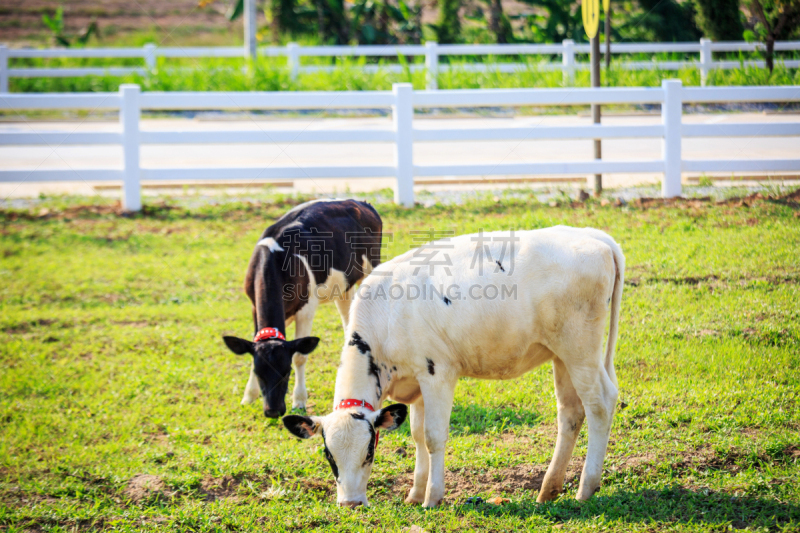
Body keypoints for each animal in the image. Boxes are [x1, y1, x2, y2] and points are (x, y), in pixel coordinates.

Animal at [219, 197, 382, 418]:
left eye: (286, 372)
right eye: (258, 372)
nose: (273, 411)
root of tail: (361, 202)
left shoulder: (306, 309)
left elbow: (299, 356)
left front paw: (299, 401)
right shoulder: (253, 306)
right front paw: (248, 396)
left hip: (372, 268)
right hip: (344, 285)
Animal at [282, 225, 624, 508]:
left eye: (369, 451)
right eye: (328, 455)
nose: (350, 503)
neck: (386, 315)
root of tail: (594, 236)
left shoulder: (437, 373)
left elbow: (434, 436)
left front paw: (432, 497)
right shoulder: (416, 382)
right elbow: (417, 435)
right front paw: (415, 492)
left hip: (581, 350)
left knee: (600, 404)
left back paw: (586, 488)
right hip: (560, 355)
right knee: (570, 413)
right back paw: (549, 489)